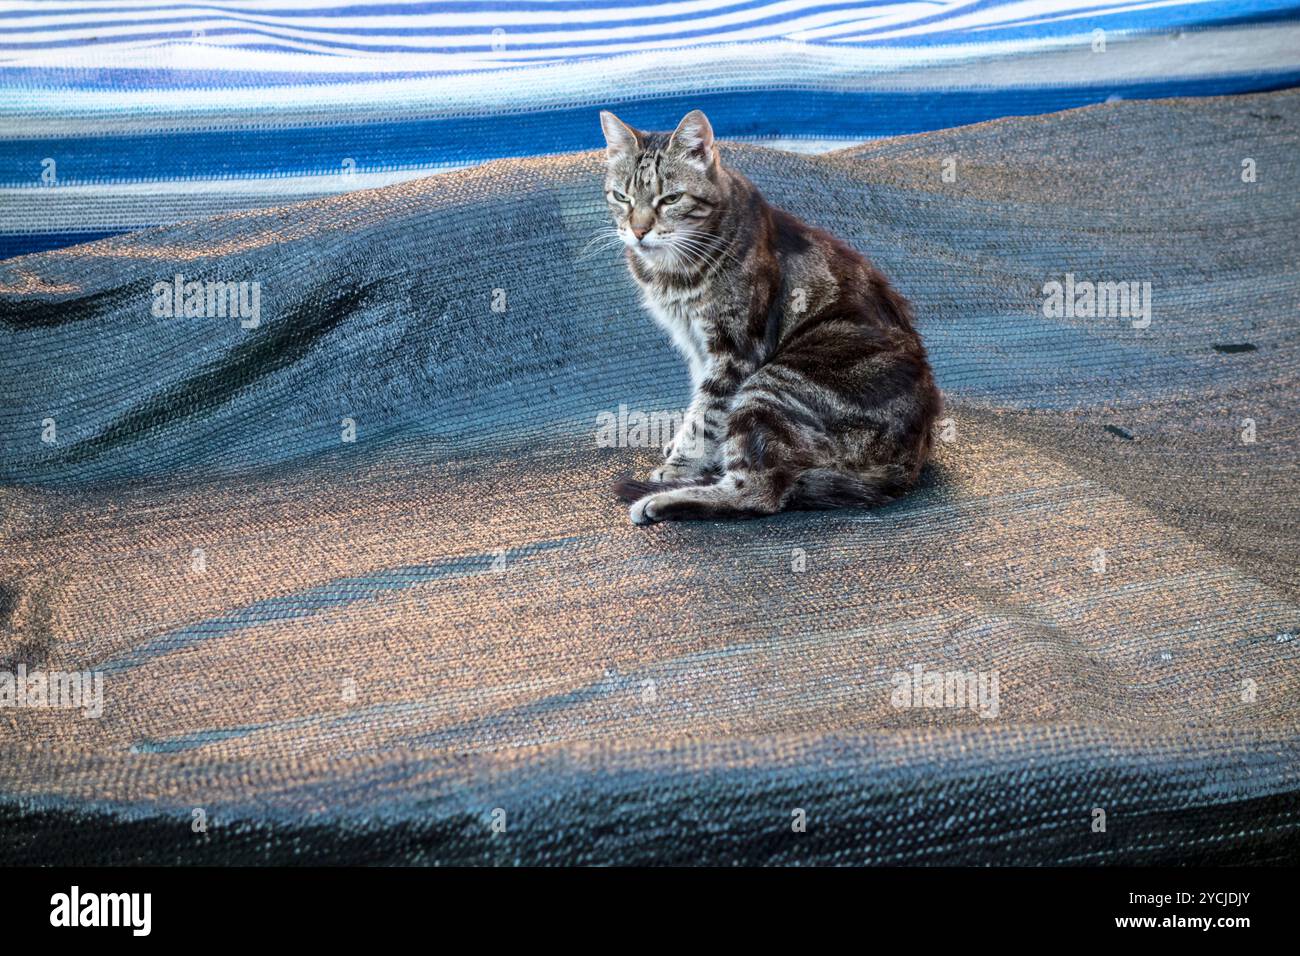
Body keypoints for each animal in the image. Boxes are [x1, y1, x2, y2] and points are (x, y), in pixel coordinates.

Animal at [603, 113, 941, 530]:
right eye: (622, 197)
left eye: (671, 199)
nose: (638, 230)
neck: (671, 272)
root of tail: (909, 464)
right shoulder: (697, 347)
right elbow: (701, 403)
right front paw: (689, 448)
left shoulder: (734, 351)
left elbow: (707, 412)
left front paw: (682, 463)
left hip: (772, 385)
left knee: (761, 492)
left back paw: (660, 501)